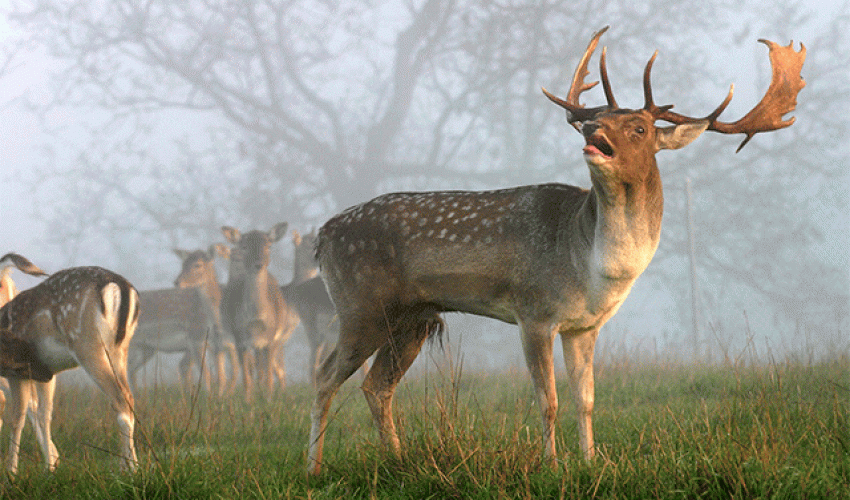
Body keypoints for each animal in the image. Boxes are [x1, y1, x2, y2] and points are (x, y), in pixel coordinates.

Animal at [0, 254, 139, 472]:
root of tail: (121, 287)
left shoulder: (18, 370)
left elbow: (17, 419)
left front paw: (11, 473)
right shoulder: (46, 373)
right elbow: (44, 414)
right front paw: (50, 468)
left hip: (88, 346)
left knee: (120, 401)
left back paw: (128, 470)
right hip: (120, 351)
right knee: (129, 397)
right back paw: (134, 466)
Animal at [128, 246, 227, 390]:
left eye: (198, 264)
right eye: (183, 264)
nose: (177, 282)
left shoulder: (217, 343)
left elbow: (221, 378)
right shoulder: (195, 338)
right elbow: (207, 376)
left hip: (146, 348)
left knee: (130, 371)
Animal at [304, 28, 800, 476]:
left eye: (638, 127)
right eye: (599, 118)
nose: (591, 126)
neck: (590, 266)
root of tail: (322, 236)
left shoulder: (584, 327)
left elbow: (586, 399)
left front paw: (591, 460)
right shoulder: (535, 312)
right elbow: (549, 399)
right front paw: (553, 465)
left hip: (414, 318)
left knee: (376, 386)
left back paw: (396, 459)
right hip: (361, 304)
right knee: (325, 375)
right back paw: (313, 467)